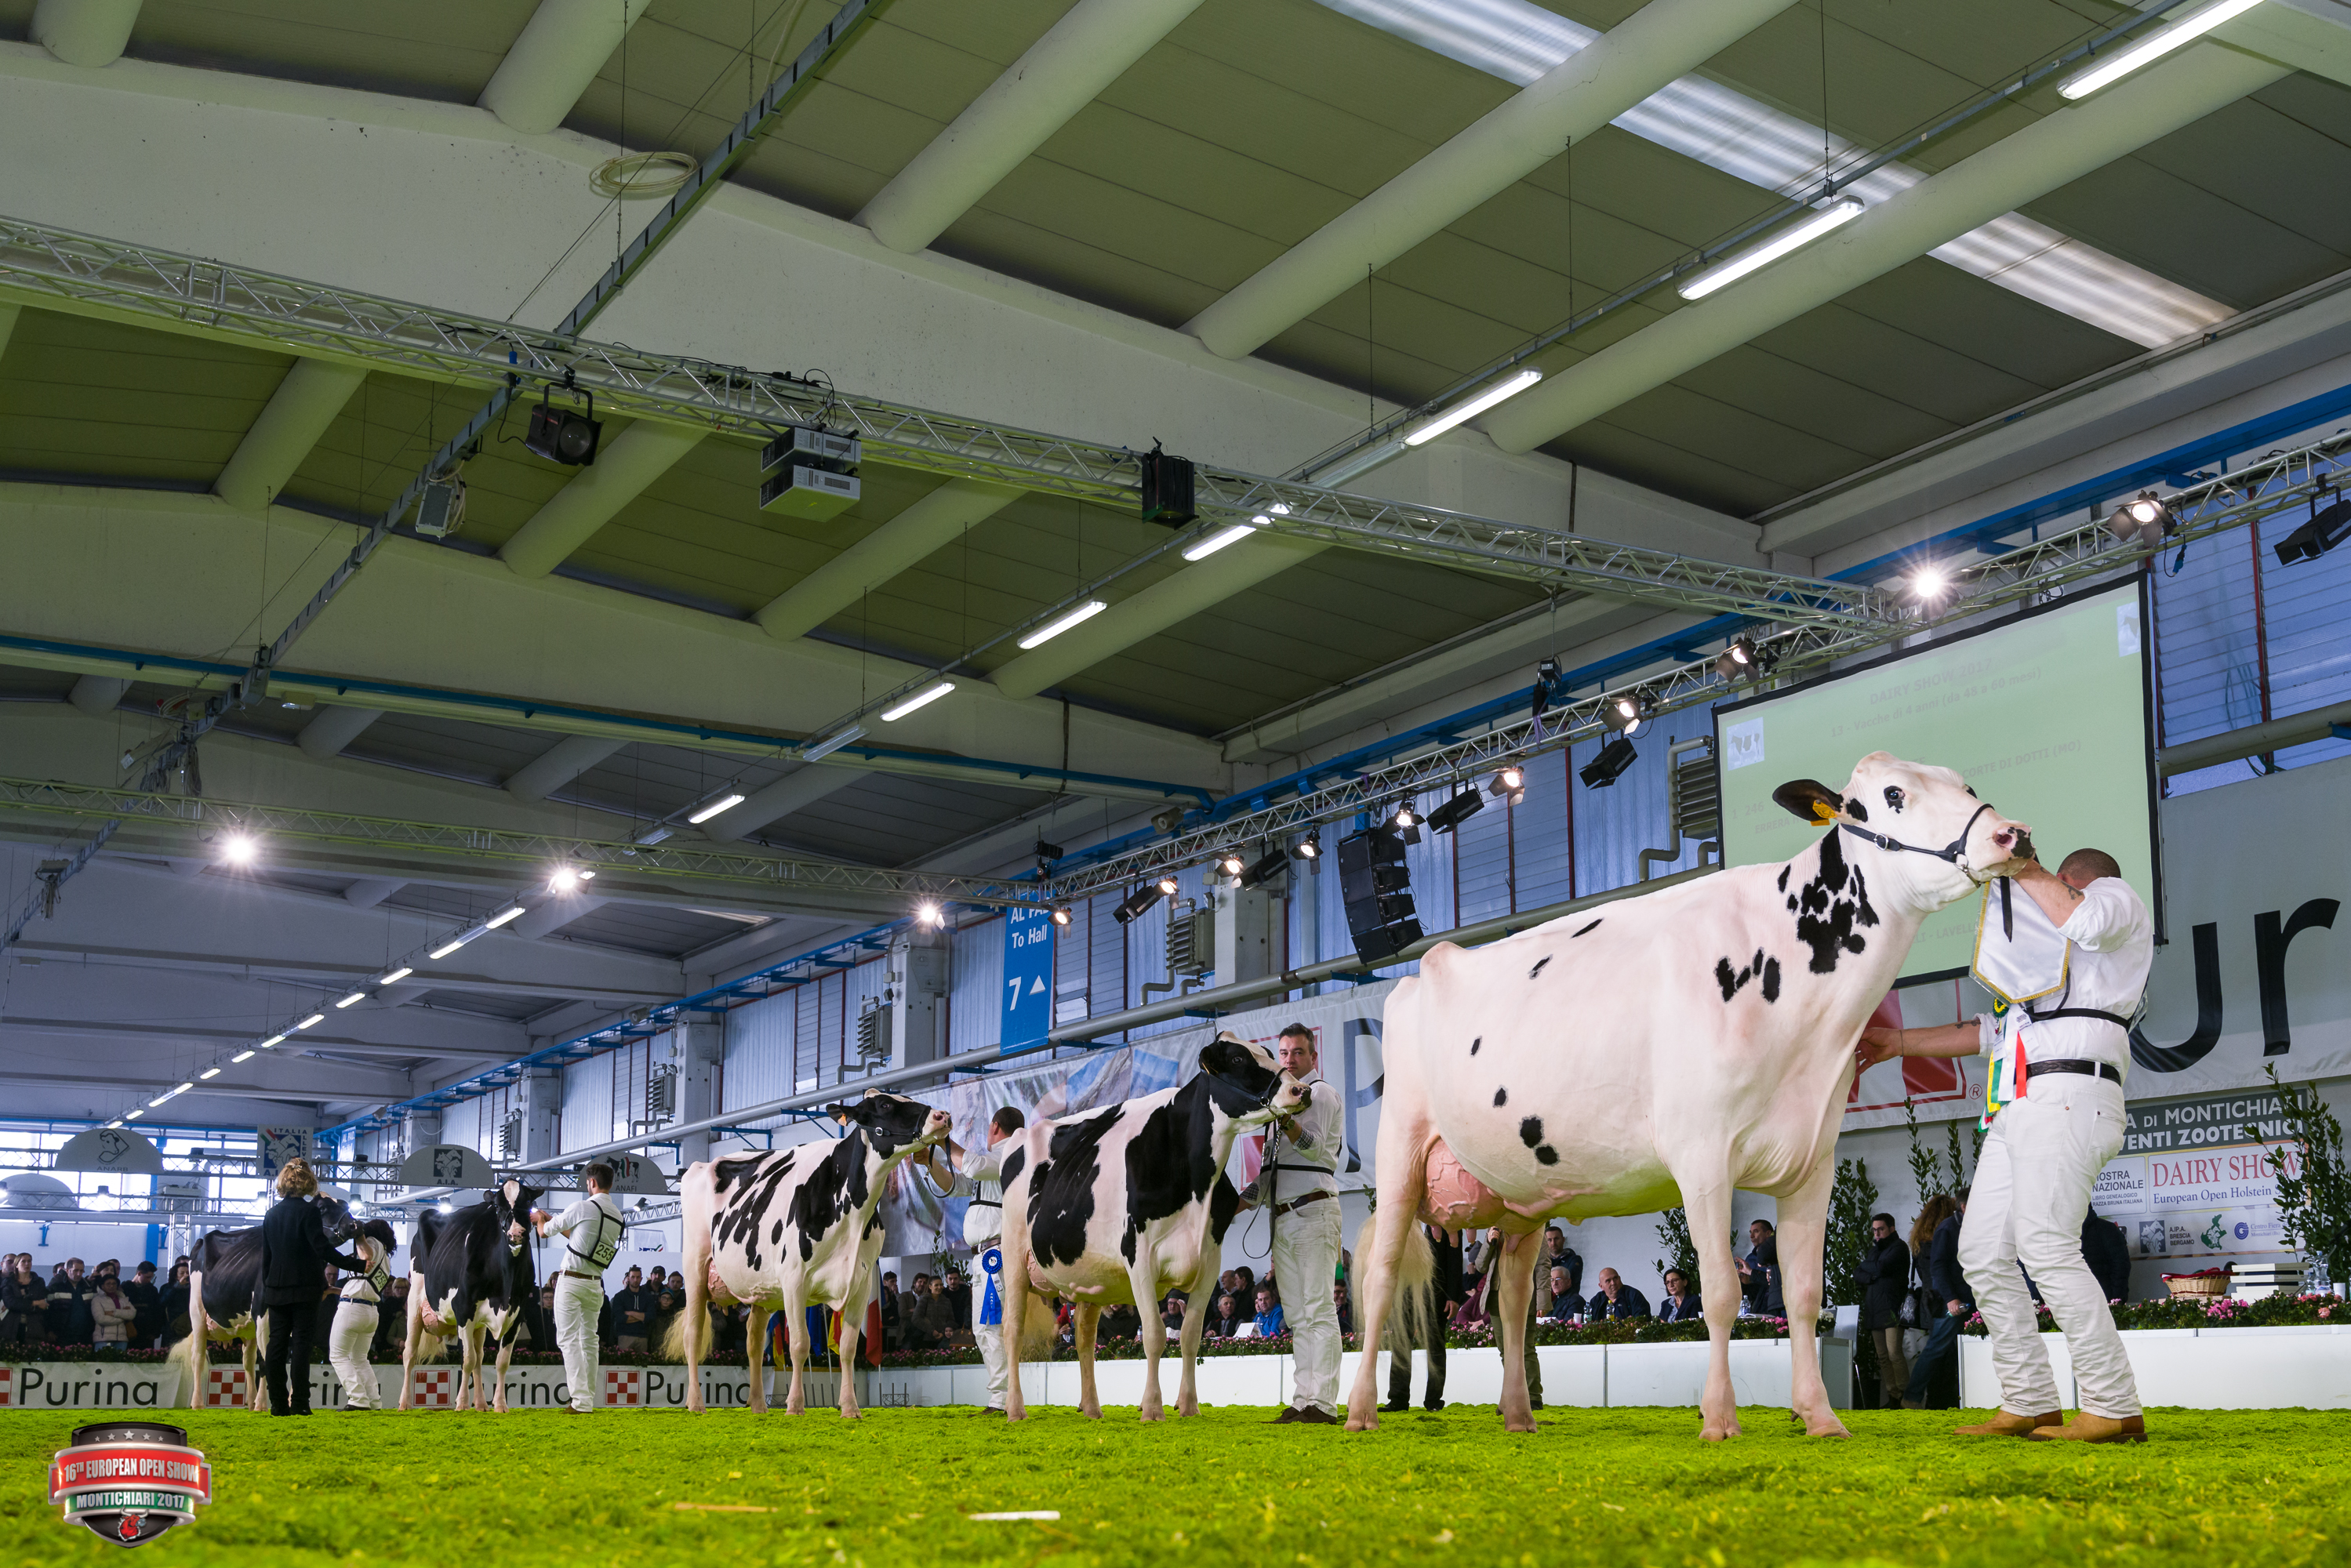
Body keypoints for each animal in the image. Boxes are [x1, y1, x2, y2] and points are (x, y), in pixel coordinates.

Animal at [169, 1191, 361, 1411]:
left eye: (346, 1205)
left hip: (248, 1327)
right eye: (322, 1208)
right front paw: (264, 1404)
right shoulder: (264, 1316)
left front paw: (292, 1401)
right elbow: (266, 1360)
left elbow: (296, 1358)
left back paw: (250, 1401)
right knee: (198, 1356)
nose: (355, 1225)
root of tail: (204, 1239)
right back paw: (198, 1403)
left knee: (247, 1359)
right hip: (197, 1312)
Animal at [399, 1178, 544, 1413]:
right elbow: (467, 1359)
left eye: (529, 1203)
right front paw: (461, 1403)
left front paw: (500, 1405)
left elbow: (500, 1362)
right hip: (415, 1300)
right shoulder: (463, 1308)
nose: (516, 1234)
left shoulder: (517, 1314)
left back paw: (482, 1404)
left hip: (478, 1325)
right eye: (498, 1207)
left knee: (480, 1357)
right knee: (409, 1354)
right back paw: (404, 1403)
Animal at [667, 1091, 950, 1416]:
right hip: (695, 1266)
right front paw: (795, 1407)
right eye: (885, 1105)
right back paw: (696, 1403)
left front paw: (850, 1408)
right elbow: (800, 1344)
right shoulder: (794, 1279)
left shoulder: (862, 1283)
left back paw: (758, 1406)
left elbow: (849, 1348)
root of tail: (702, 1164)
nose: (942, 1116)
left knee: (753, 1341)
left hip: (761, 1288)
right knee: (693, 1335)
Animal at [995, 1032, 1313, 1422]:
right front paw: (1151, 1408)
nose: (1301, 1090)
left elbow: (1190, 1335)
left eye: (1270, 1053)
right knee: (1013, 1330)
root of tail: (1022, 1134)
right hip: (1013, 1254)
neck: (1195, 1184)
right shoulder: (1139, 1255)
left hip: (1088, 1277)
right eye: (1239, 1059)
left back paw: (1092, 1409)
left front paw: (1189, 1406)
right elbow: (1155, 1336)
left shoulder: (1210, 1259)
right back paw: (1015, 1409)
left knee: (1084, 1338)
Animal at [1345, 752, 2033, 1441]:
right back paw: (1359, 1412)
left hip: (1523, 1197)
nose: (2014, 834)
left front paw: (1820, 1416)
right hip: (1400, 1151)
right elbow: (1722, 1293)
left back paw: (1518, 1415)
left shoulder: (1813, 1161)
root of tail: (1426, 965)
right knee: (1380, 1281)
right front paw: (1719, 1418)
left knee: (1512, 1300)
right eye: (1893, 794)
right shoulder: (1702, 1156)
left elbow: (1806, 1295)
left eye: (1966, 784)